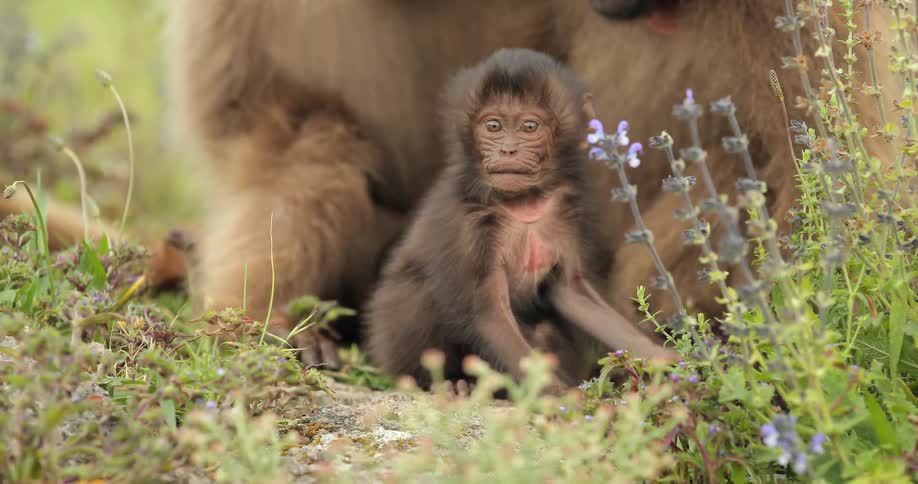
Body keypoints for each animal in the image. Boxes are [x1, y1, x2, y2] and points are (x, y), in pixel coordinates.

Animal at [364, 49, 679, 390]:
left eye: (529, 127)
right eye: (493, 126)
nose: (508, 150)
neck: (523, 205)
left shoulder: (565, 212)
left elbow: (573, 292)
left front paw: (671, 360)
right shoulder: (468, 224)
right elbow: (488, 312)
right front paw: (562, 396)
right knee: (417, 291)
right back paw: (451, 384)